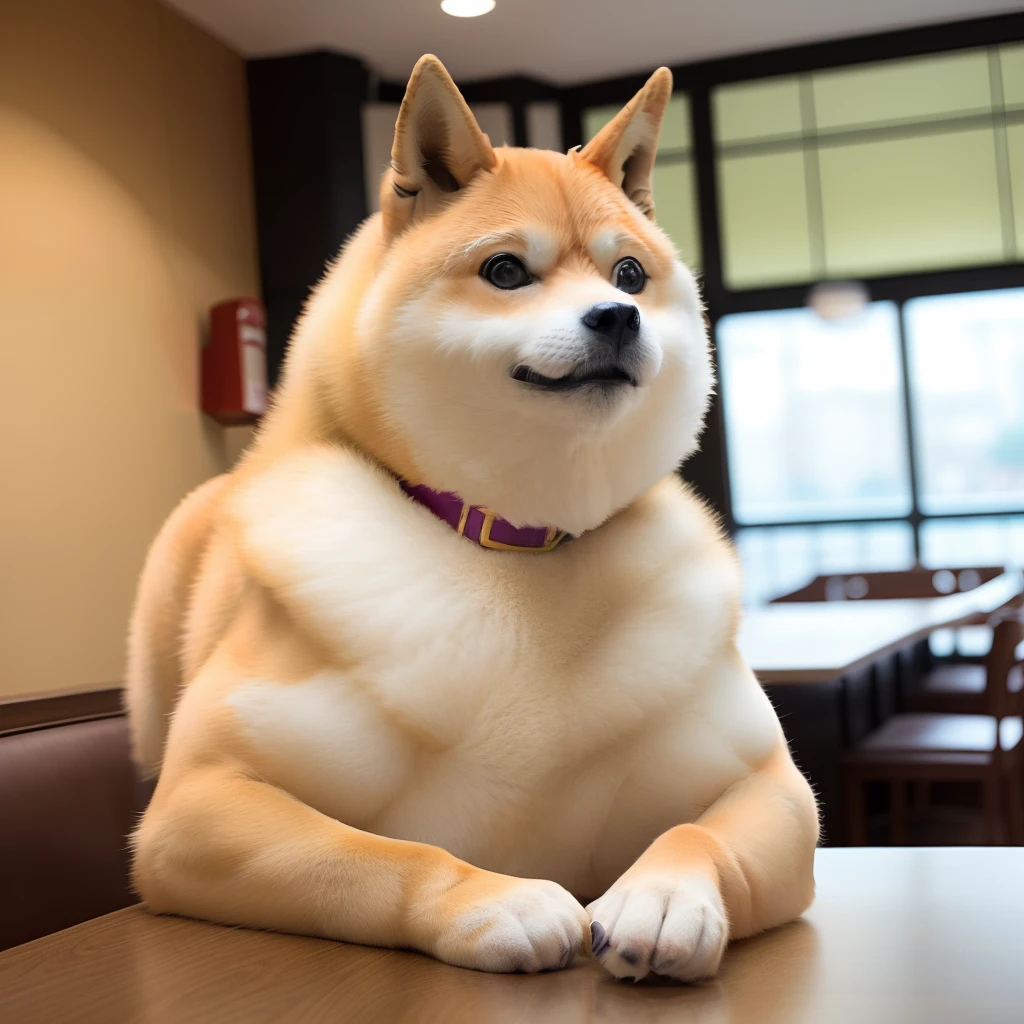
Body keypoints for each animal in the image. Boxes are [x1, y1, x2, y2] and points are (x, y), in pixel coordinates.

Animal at [125, 51, 815, 978]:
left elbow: (695, 832)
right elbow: (377, 855)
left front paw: (666, 896)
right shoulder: (197, 807)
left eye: (630, 275)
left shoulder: (769, 782)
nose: (618, 316)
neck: (517, 543)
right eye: (506, 272)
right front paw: (496, 899)